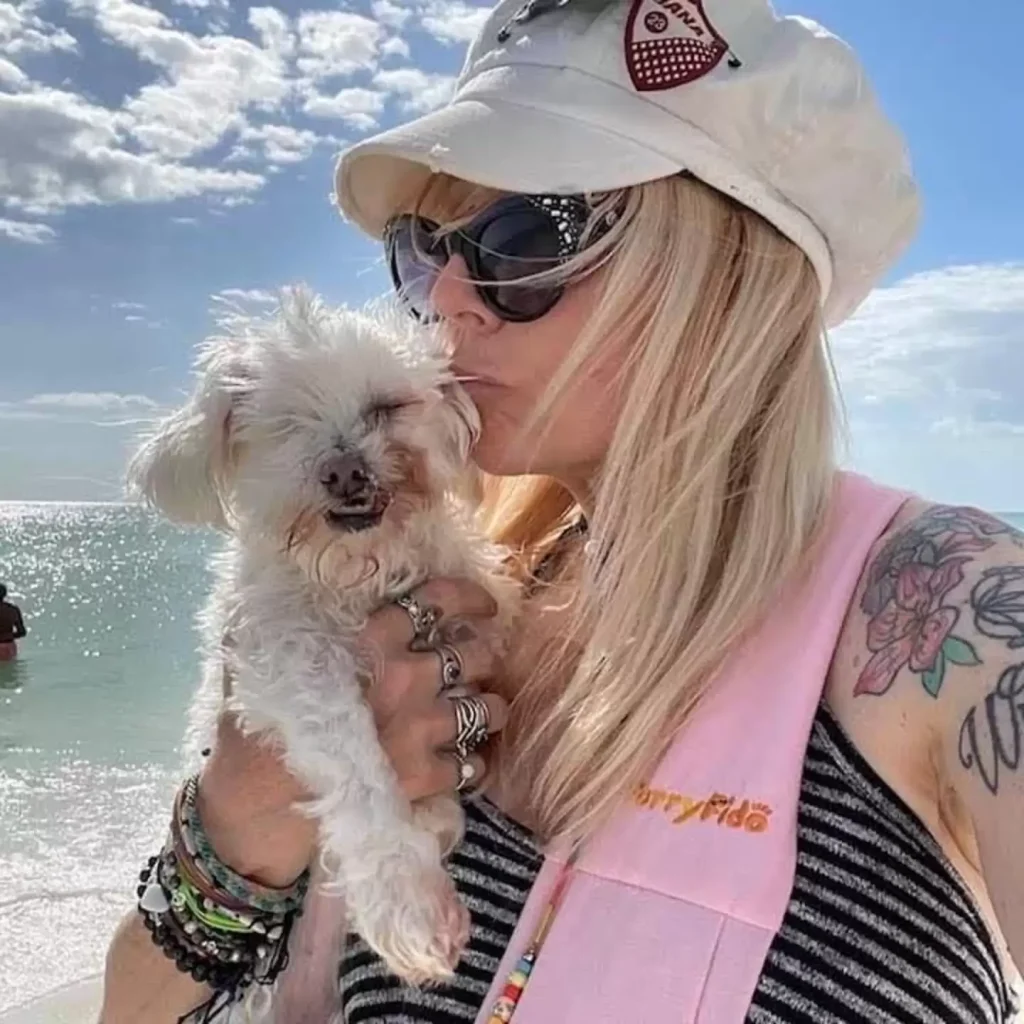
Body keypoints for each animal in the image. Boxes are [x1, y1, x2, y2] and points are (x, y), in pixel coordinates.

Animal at [126, 286, 516, 1015]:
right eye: (287, 422)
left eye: (387, 406)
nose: (344, 470)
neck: (353, 573)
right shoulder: (283, 654)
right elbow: (353, 759)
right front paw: (405, 892)